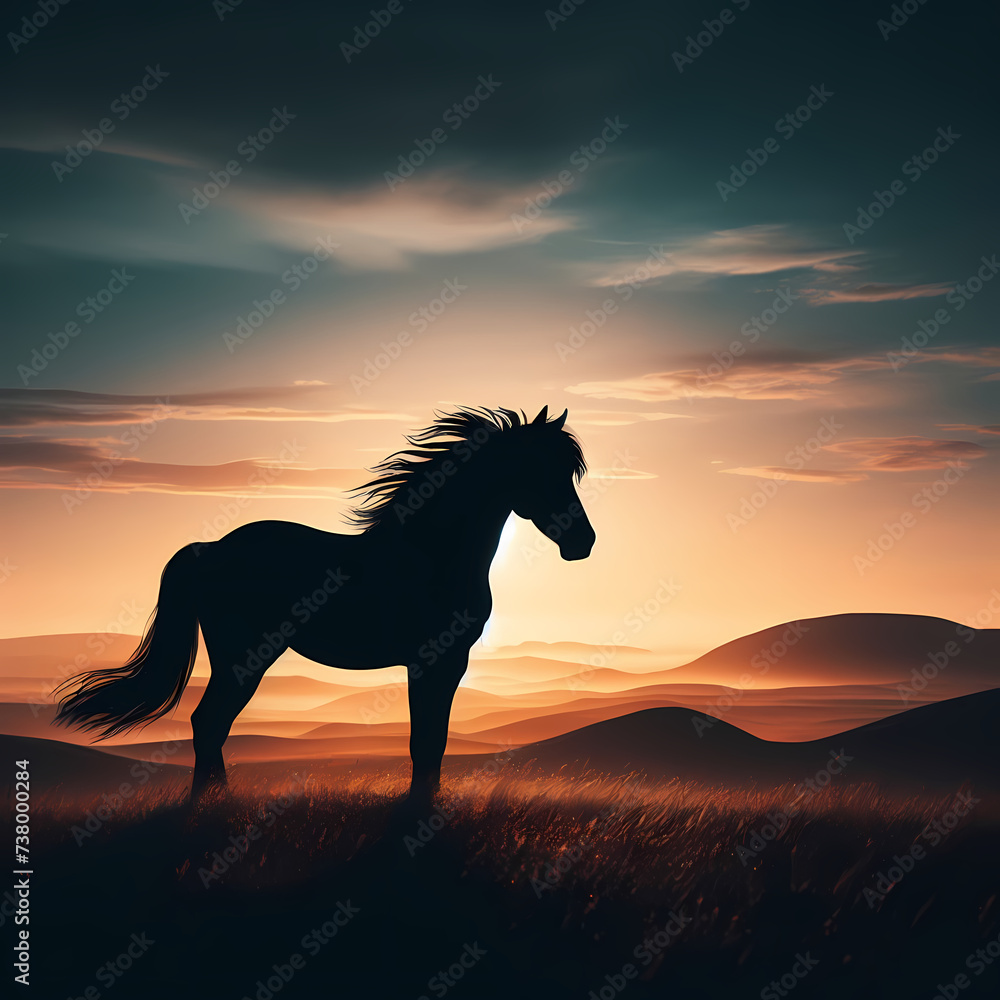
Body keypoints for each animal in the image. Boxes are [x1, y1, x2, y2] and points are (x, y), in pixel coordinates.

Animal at [54, 405, 596, 800]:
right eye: (542, 470)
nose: (583, 542)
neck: (431, 554)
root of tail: (210, 548)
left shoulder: (440, 664)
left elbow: (431, 744)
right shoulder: (436, 661)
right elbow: (427, 743)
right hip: (243, 659)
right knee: (209, 724)